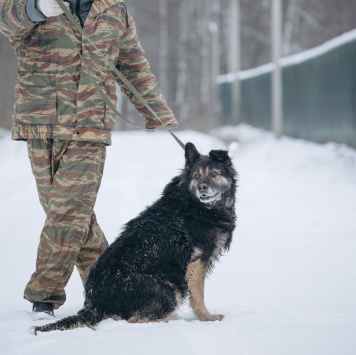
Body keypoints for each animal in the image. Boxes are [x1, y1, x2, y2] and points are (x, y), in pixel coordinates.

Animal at [30, 143, 236, 336]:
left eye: (214, 173)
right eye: (196, 176)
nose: (202, 188)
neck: (195, 204)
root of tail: (94, 301)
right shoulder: (197, 262)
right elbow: (198, 295)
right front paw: (207, 318)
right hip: (168, 288)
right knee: (137, 319)